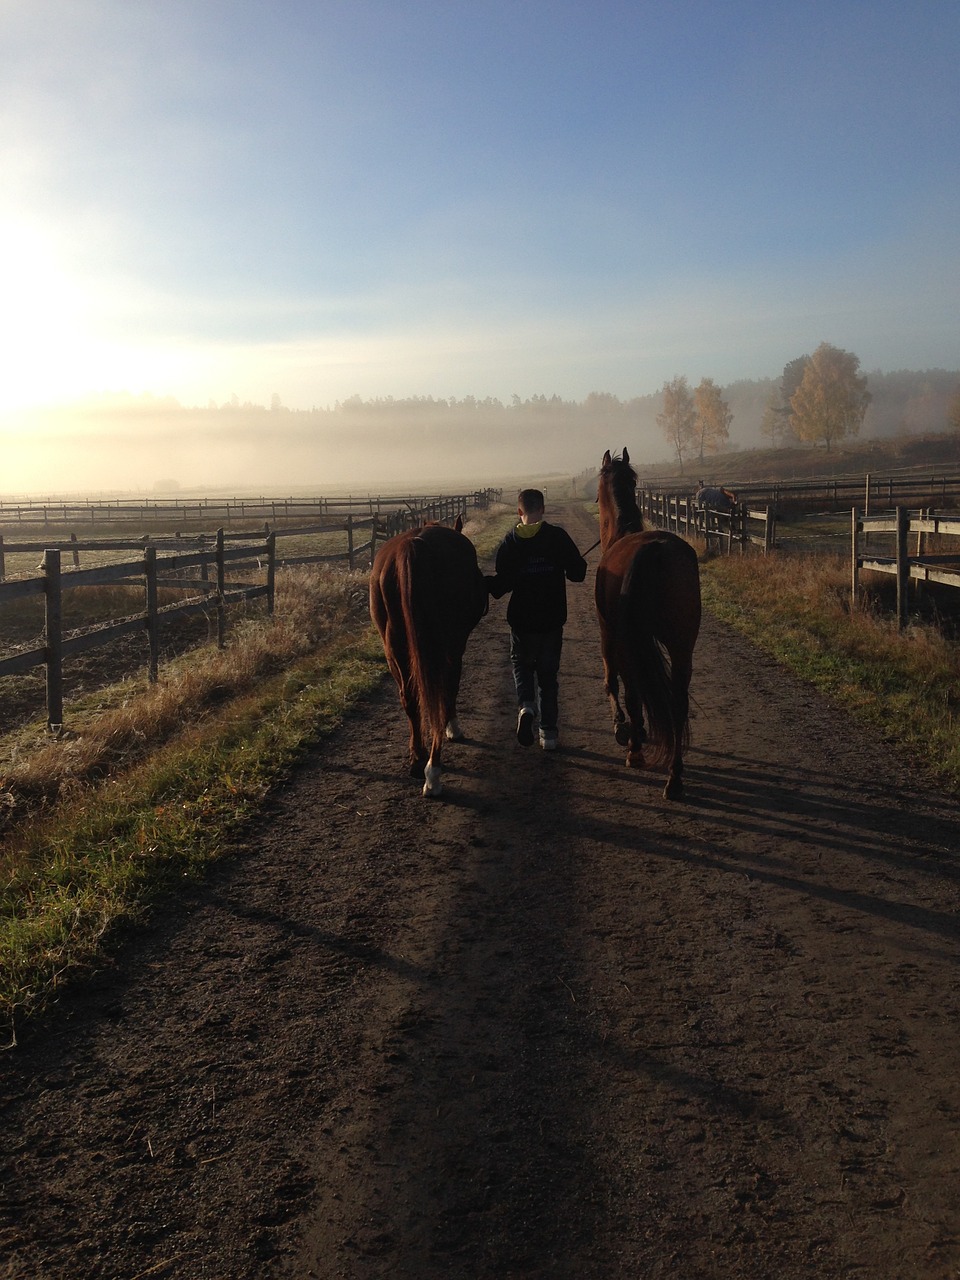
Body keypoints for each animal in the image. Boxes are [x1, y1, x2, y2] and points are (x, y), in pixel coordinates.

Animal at [368, 514, 488, 793]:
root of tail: (414, 546)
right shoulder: (455, 646)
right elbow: (450, 688)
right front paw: (453, 728)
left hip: (394, 646)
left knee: (410, 697)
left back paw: (418, 759)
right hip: (448, 644)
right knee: (441, 690)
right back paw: (433, 771)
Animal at [599, 445, 701, 793]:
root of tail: (652, 549)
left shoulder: (609, 634)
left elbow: (613, 681)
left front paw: (624, 729)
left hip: (629, 642)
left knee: (632, 692)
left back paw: (636, 751)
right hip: (683, 645)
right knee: (678, 702)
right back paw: (675, 776)